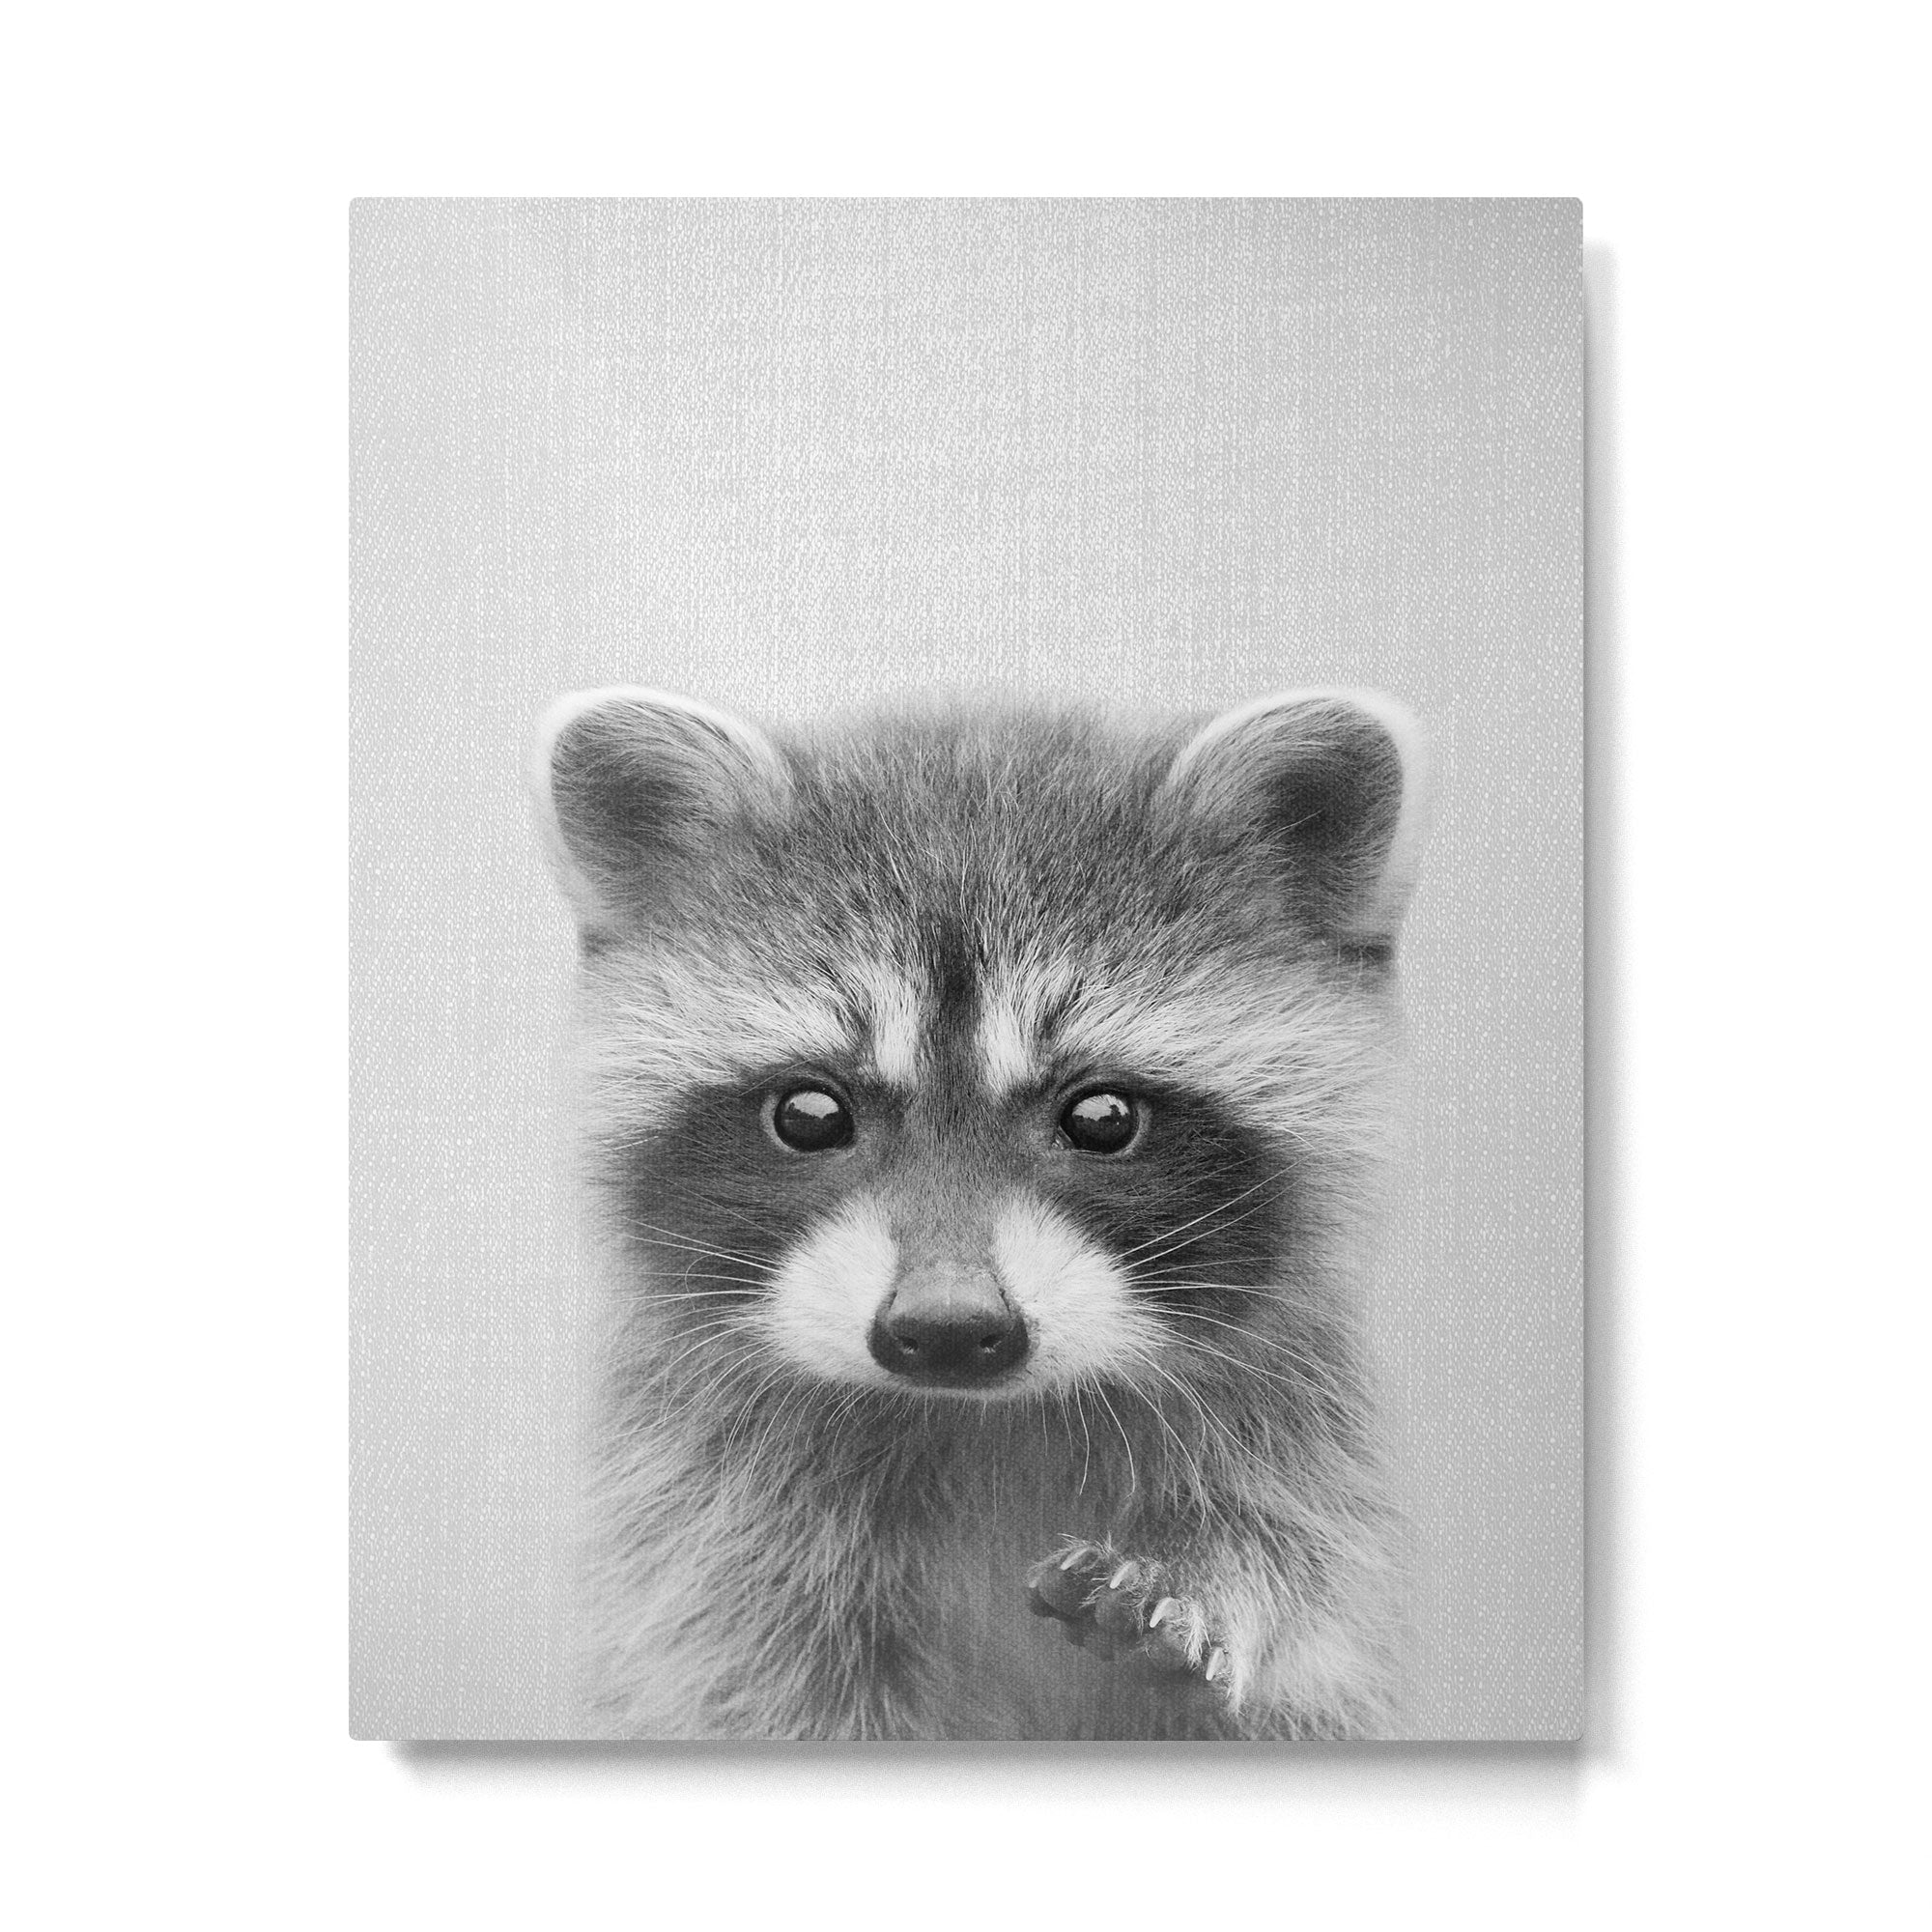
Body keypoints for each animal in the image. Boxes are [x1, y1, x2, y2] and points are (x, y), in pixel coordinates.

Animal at [531, 683, 1428, 1739]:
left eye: (1102, 1116)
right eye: (809, 1114)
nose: (950, 1329)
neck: (981, 1417)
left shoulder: (1305, 1443)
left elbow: (1303, 1583)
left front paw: (1219, 1587)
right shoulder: (702, 1522)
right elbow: (742, 1677)